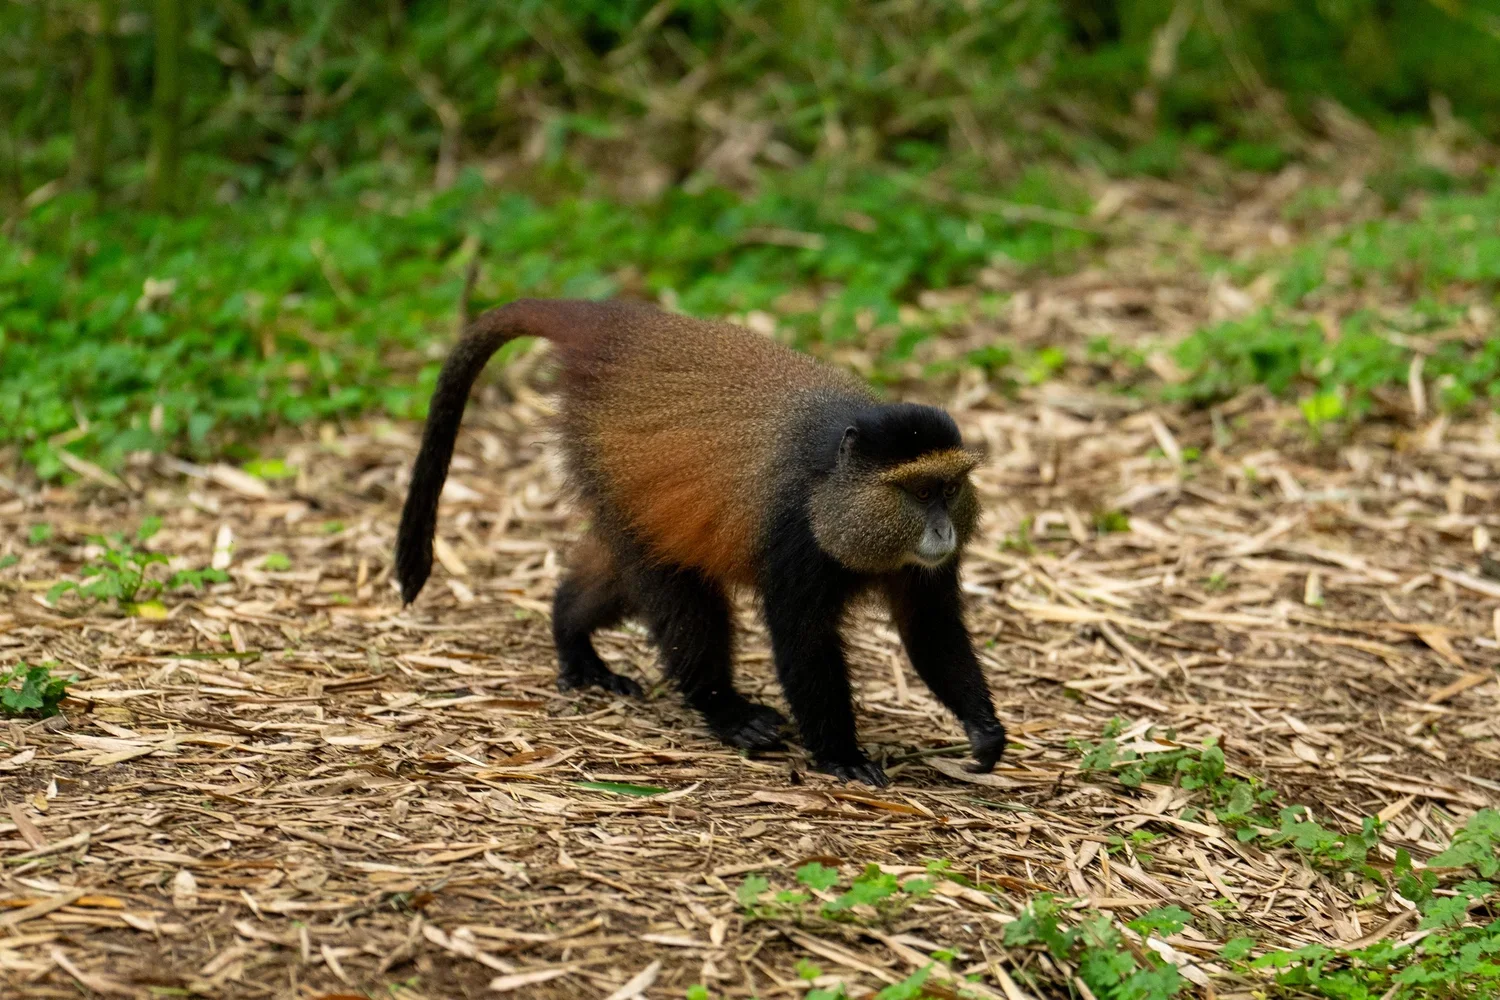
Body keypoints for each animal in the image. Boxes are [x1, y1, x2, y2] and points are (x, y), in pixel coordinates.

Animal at [395, 298, 1007, 787]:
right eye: (919, 492)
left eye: (949, 489)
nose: (943, 530)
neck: (834, 486)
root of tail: (612, 327)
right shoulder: (795, 537)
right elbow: (802, 640)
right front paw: (841, 755)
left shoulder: (922, 567)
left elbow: (929, 627)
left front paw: (984, 731)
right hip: (611, 470)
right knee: (678, 593)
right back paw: (726, 711)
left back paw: (572, 640)